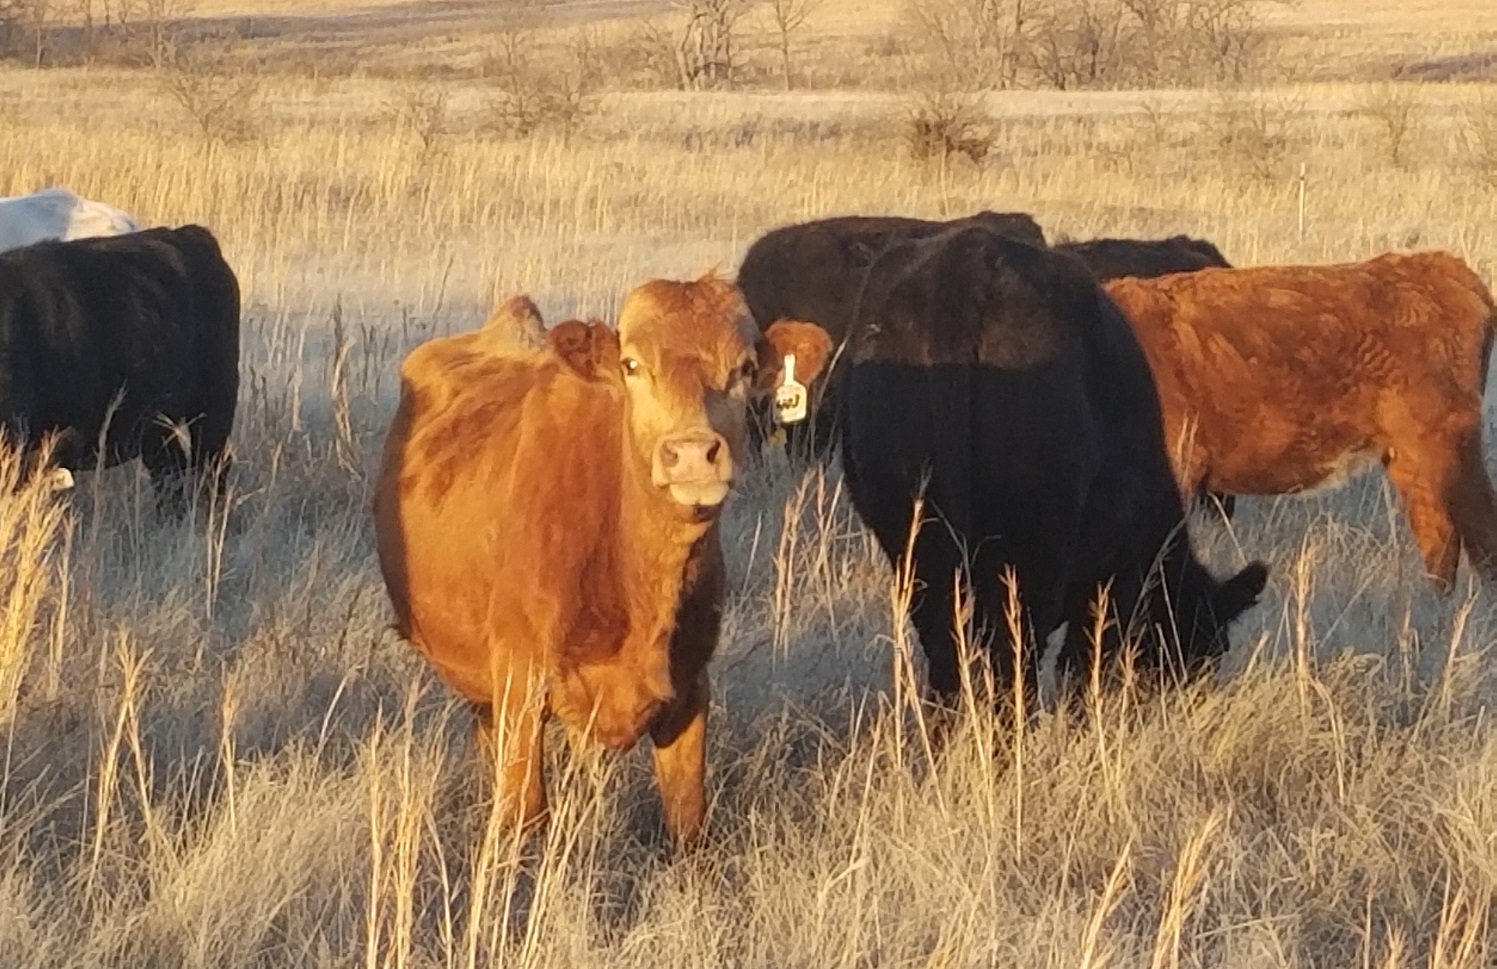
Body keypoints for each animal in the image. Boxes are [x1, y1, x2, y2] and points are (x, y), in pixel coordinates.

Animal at [372, 274, 832, 846]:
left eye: (746, 368)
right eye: (632, 365)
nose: (693, 453)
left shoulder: (690, 688)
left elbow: (687, 822)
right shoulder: (521, 689)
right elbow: (524, 818)